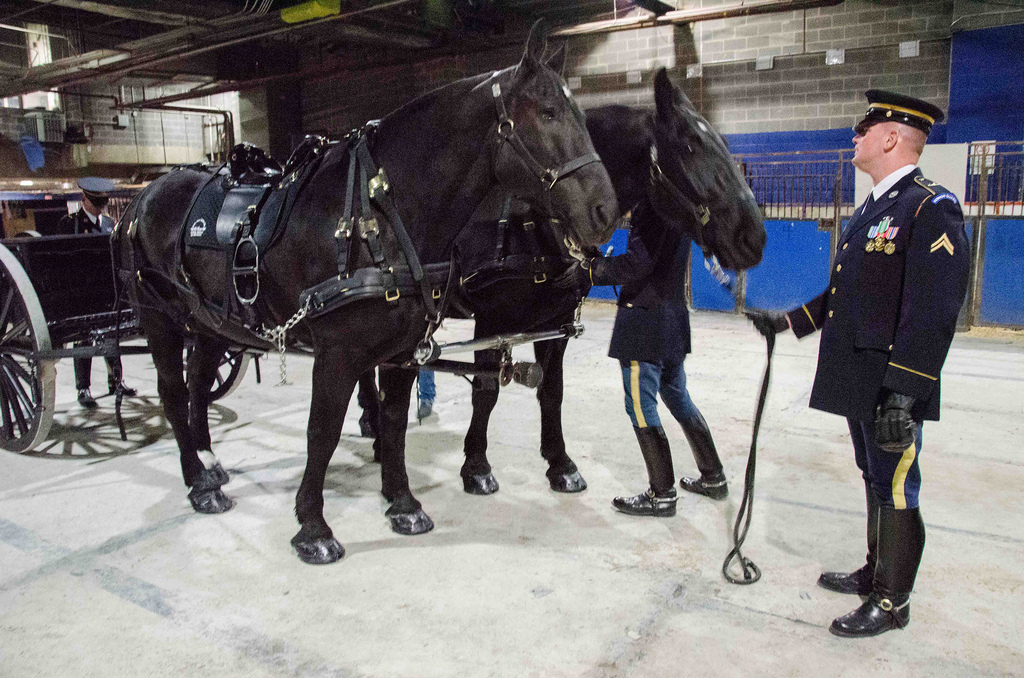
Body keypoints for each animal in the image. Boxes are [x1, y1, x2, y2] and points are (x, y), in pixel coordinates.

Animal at [116, 23, 618, 565]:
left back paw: (209, 463)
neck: (379, 212)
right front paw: (313, 526)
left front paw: (402, 502)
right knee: (172, 391)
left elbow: (400, 420)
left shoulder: (407, 349)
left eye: (582, 116)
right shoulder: (341, 351)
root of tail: (141, 199)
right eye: (547, 113)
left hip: (209, 322)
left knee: (197, 384)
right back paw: (199, 482)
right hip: (159, 318)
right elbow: (322, 430)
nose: (604, 211)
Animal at [372, 67, 765, 536]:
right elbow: (486, 391)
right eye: (690, 146)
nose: (755, 237)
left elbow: (552, 391)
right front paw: (478, 468)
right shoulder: (492, 320)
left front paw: (560, 465)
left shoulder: (554, 324)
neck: (532, 218)